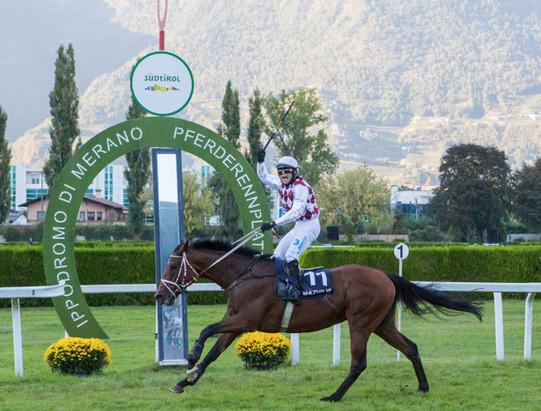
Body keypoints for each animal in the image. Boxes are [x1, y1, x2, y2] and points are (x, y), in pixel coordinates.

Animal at [155, 240, 480, 404]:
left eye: (172, 265)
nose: (160, 295)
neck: (243, 276)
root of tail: (386, 275)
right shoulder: (236, 322)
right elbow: (213, 353)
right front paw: (184, 381)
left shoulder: (245, 320)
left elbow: (206, 331)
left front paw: (190, 358)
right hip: (382, 324)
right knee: (410, 347)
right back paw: (423, 387)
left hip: (360, 322)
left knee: (359, 362)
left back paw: (334, 396)